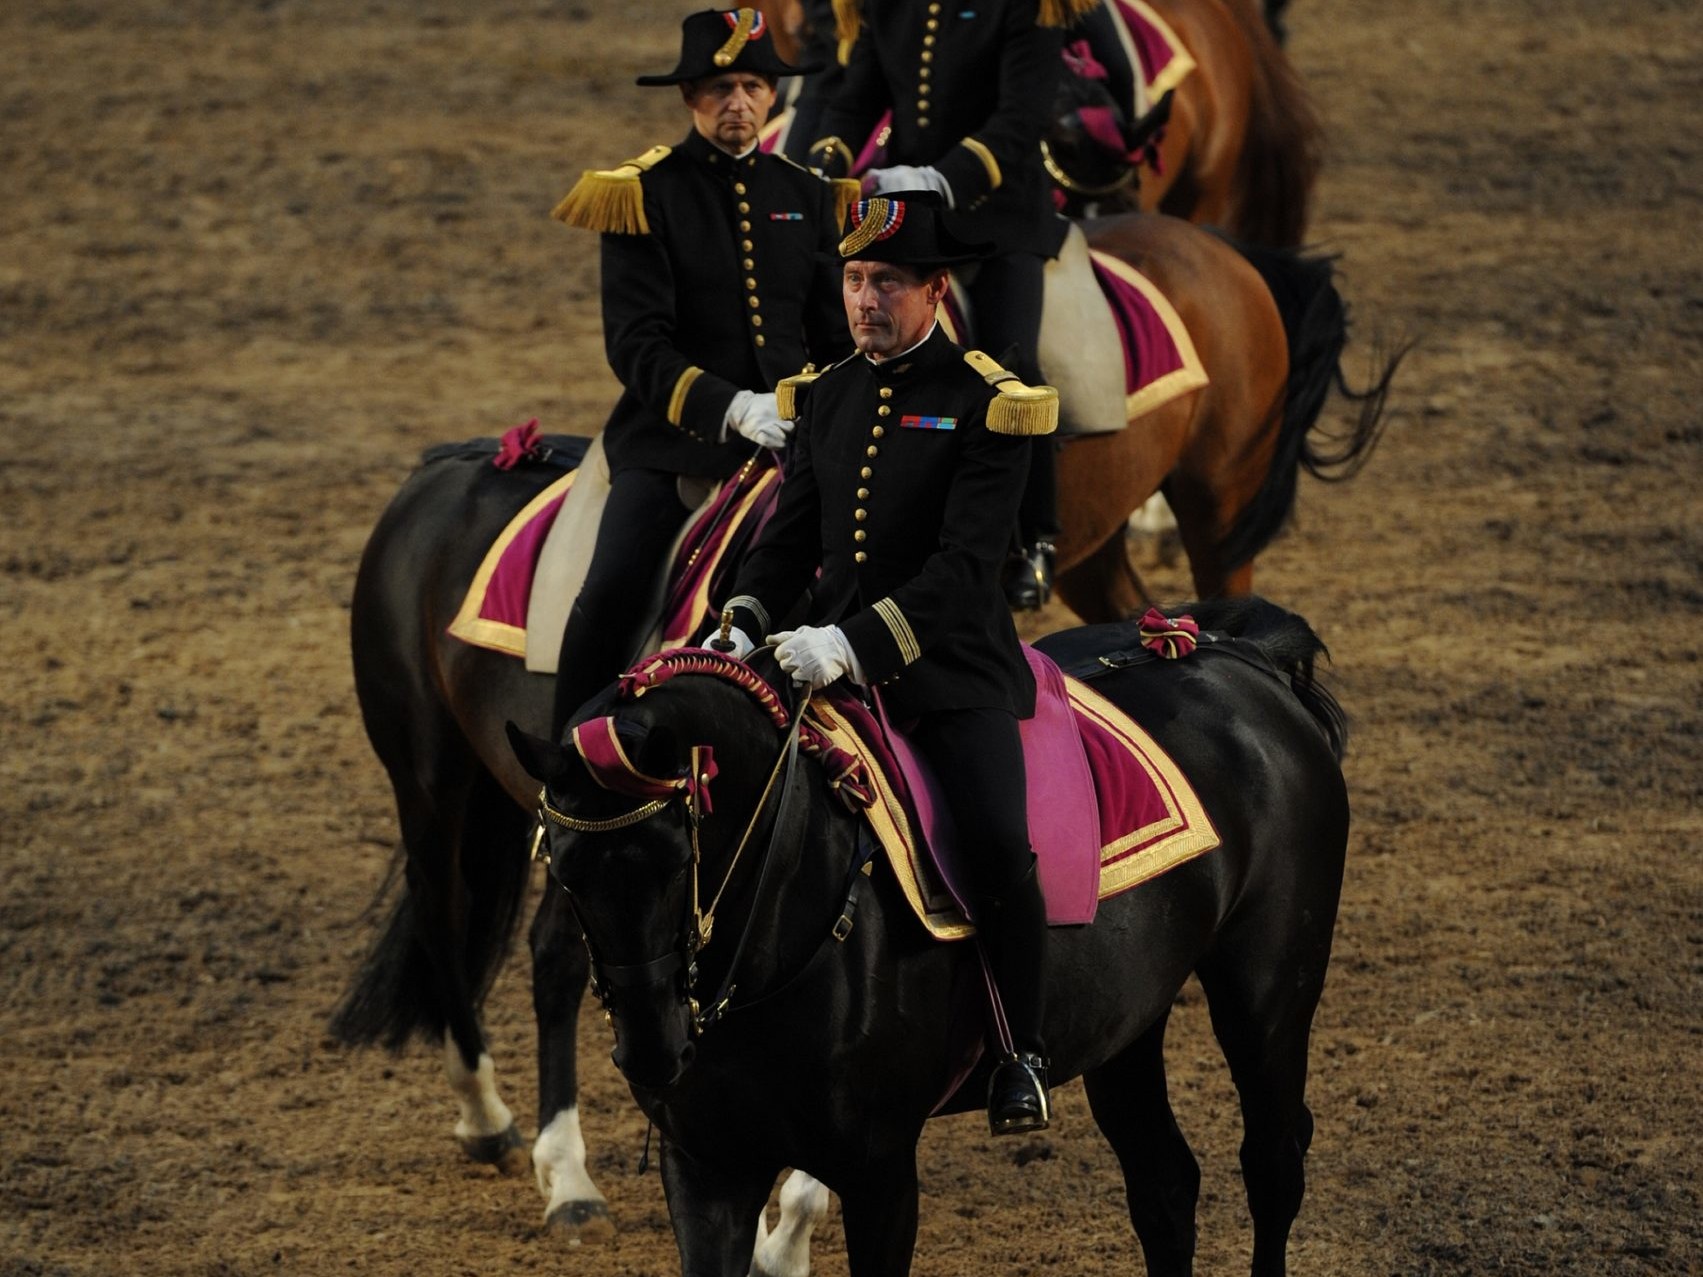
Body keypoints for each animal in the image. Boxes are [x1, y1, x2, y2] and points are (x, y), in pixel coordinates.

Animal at [497, 602, 1348, 1277]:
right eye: (563, 868)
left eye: (680, 859)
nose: (651, 1052)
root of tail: (1240, 659)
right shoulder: (706, 1167)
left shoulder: (877, 1167)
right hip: (1125, 1025)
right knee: (1165, 1184)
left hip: (1267, 995)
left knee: (1272, 1164)